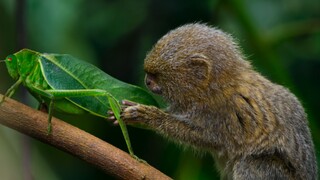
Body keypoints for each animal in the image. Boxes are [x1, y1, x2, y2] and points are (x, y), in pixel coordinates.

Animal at [109, 23, 318, 179]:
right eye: (149, 75)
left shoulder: (220, 110)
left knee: (251, 163)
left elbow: (206, 137)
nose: (147, 81)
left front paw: (147, 116)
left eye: (156, 76)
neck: (213, 88)